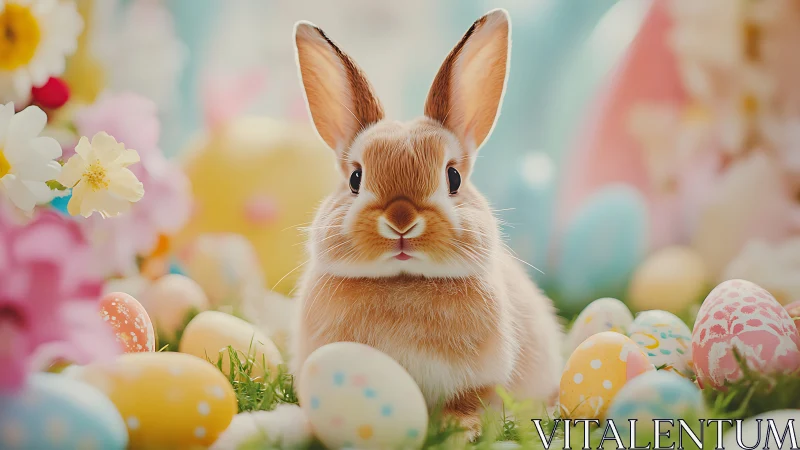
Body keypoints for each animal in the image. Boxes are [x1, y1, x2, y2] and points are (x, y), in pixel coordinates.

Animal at [289, 9, 564, 437]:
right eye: (355, 179)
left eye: (453, 177)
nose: (401, 220)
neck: (404, 282)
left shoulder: (479, 383)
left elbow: (467, 404)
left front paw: (461, 432)